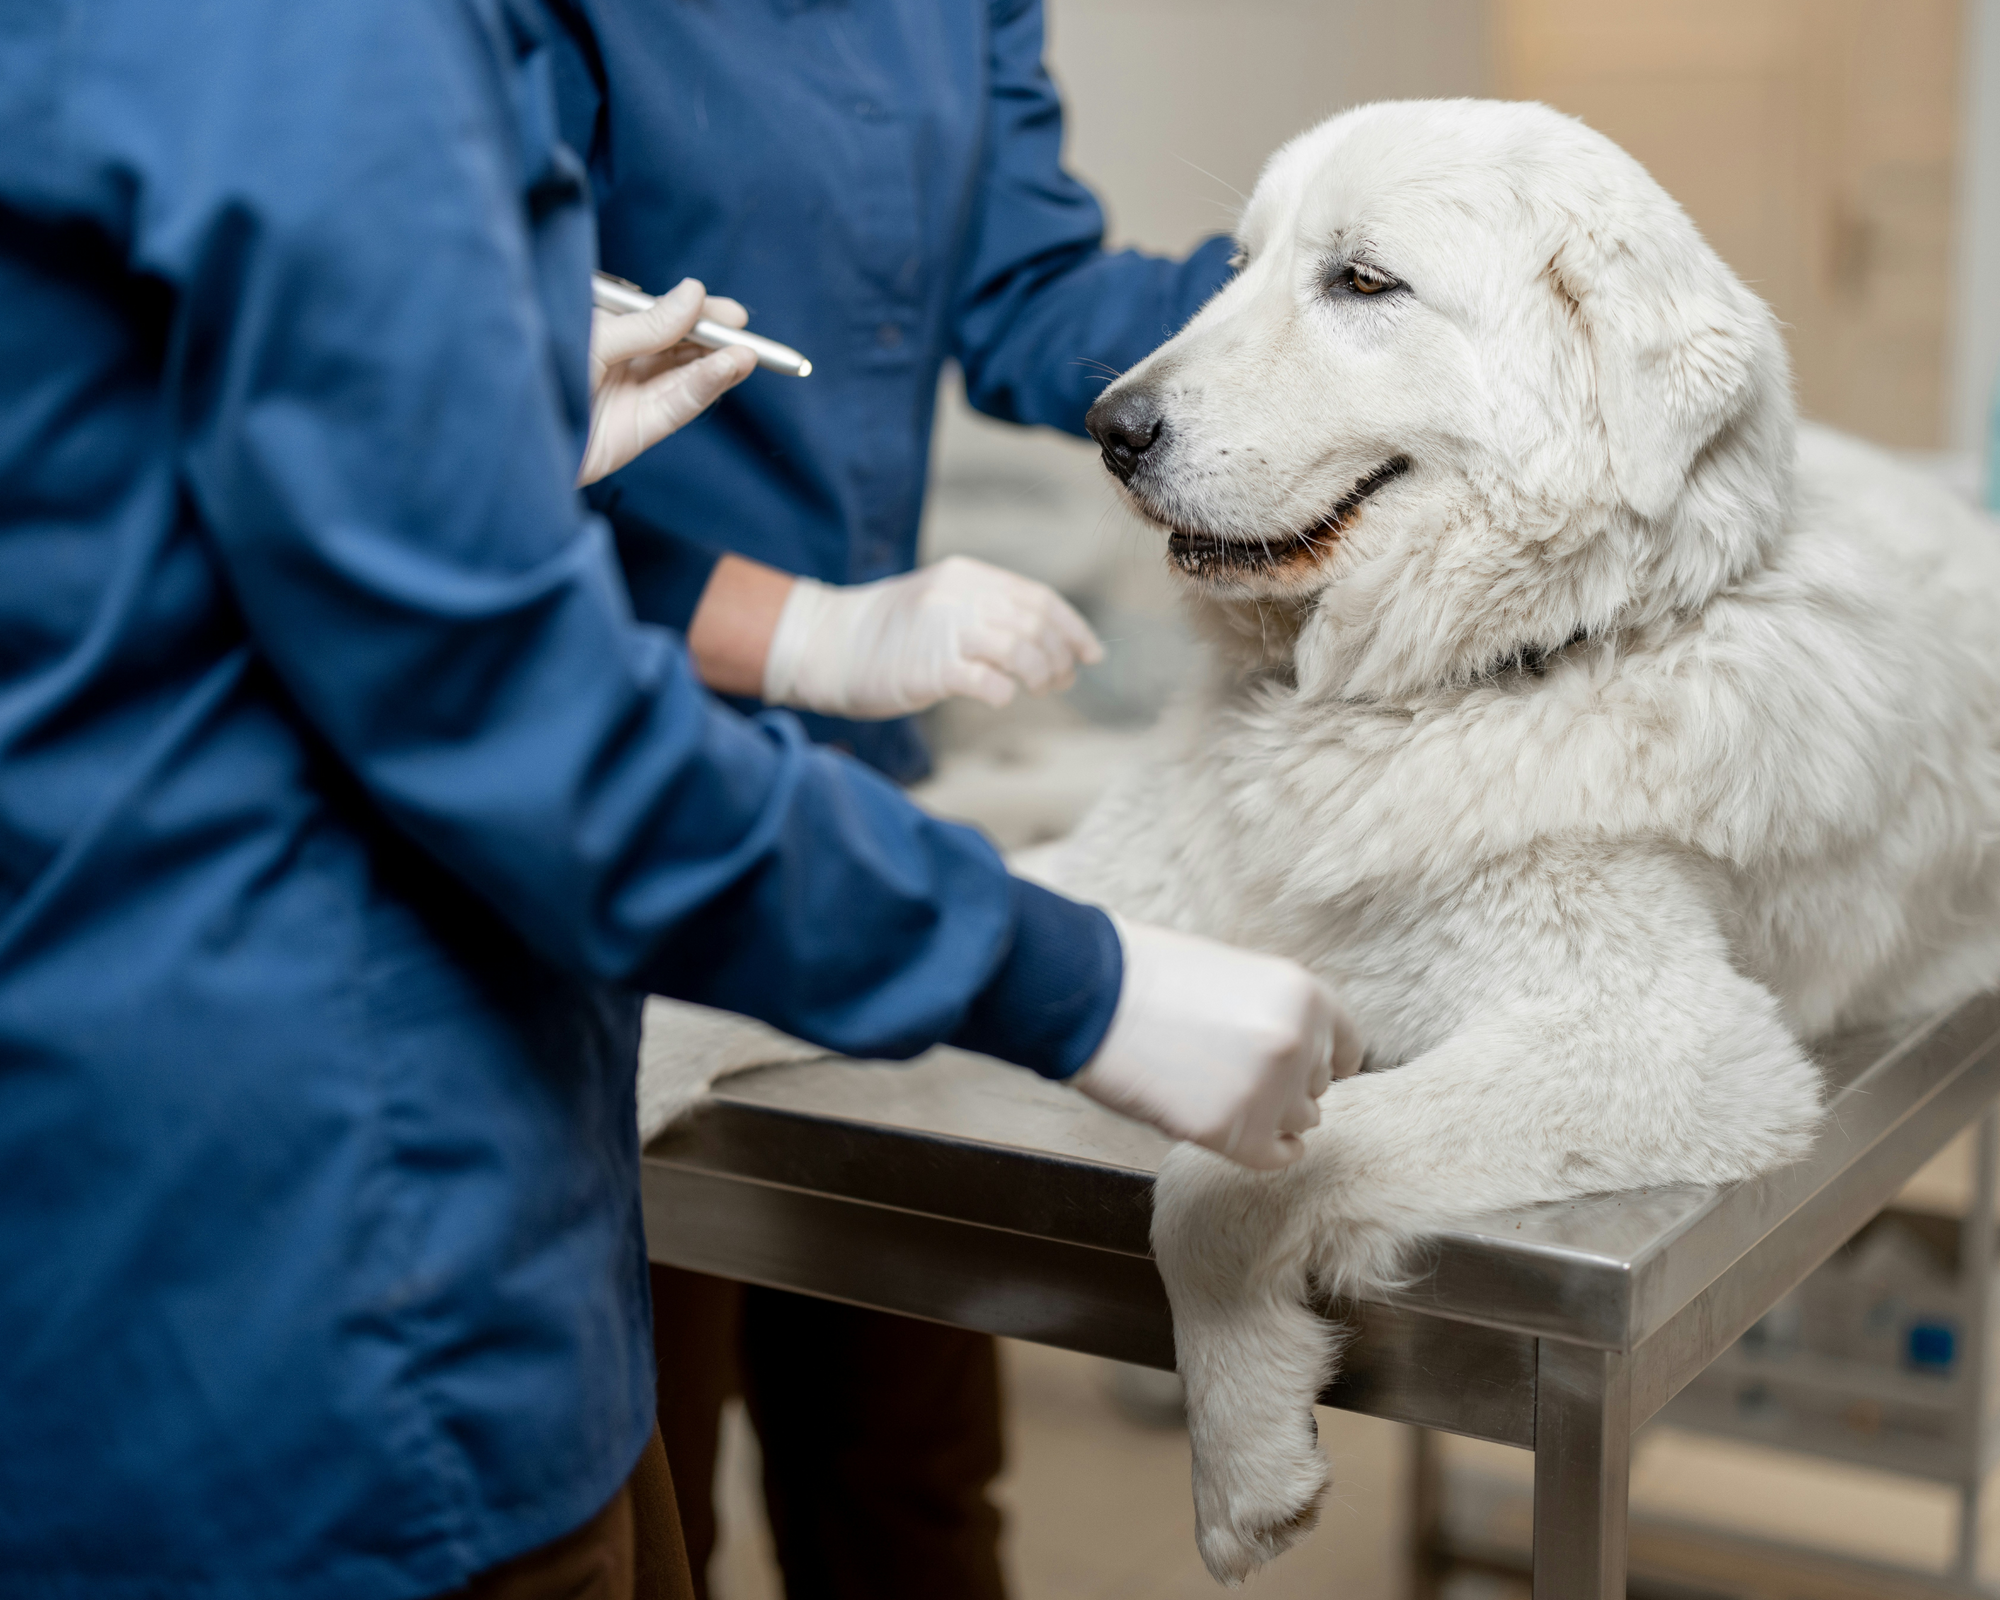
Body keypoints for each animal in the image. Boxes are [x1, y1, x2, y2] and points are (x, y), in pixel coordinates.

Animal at [1032, 103, 2000, 1584]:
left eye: (1362, 282)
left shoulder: (1669, 1047)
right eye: (1236, 267)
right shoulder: (1102, 899)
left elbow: (1213, 1182)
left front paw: (1244, 1456)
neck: (1449, 686)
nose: (1108, 427)